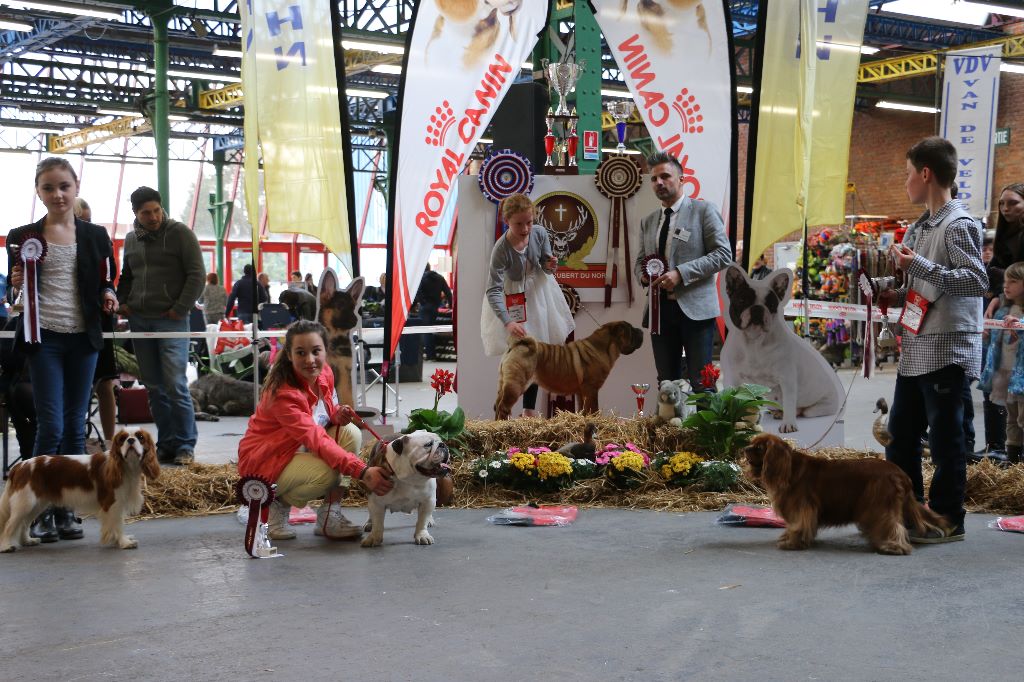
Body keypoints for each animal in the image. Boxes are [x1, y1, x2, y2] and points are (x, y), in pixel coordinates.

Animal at [493, 319, 643, 419]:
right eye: (632, 331)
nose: (641, 330)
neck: (603, 348)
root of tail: (517, 344)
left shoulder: (582, 392)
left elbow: (584, 408)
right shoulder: (592, 389)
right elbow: (593, 408)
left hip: (503, 384)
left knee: (497, 405)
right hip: (516, 385)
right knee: (503, 406)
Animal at [741, 436, 946, 552]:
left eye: (759, 448)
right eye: (752, 444)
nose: (744, 448)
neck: (789, 468)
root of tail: (900, 473)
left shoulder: (802, 507)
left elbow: (798, 525)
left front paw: (792, 542)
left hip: (880, 505)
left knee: (892, 526)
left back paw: (892, 546)